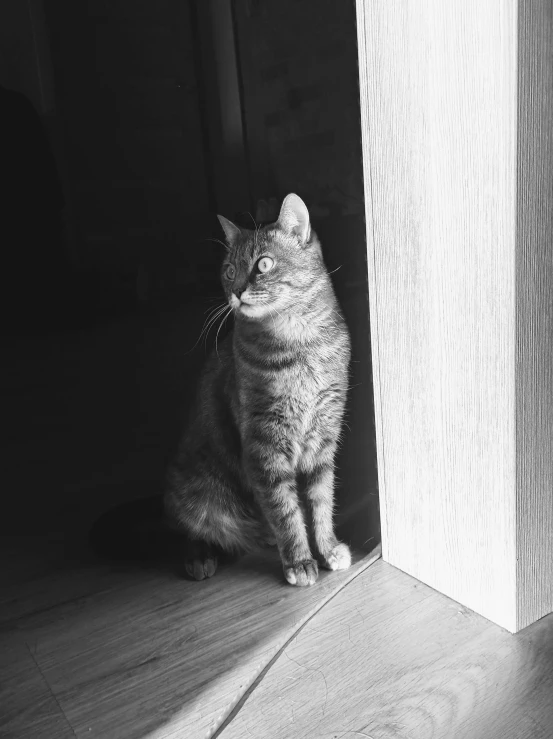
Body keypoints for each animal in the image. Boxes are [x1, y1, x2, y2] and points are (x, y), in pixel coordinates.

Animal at [165, 194, 354, 588]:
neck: (301, 343)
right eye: (229, 271)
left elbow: (320, 500)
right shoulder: (264, 443)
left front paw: (328, 547)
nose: (237, 291)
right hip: (195, 488)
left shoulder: (324, 435)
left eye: (263, 263)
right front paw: (299, 561)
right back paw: (200, 557)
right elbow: (284, 509)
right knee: (188, 528)